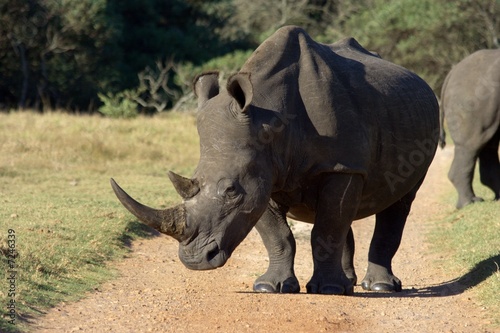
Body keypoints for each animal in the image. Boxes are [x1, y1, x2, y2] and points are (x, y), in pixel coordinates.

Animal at [112, 26, 438, 296]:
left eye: (230, 190)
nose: (195, 260)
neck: (270, 119)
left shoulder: (340, 165)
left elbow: (327, 227)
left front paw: (328, 290)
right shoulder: (264, 172)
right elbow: (279, 234)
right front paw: (270, 287)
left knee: (399, 201)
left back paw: (379, 287)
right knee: (343, 212)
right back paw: (350, 282)